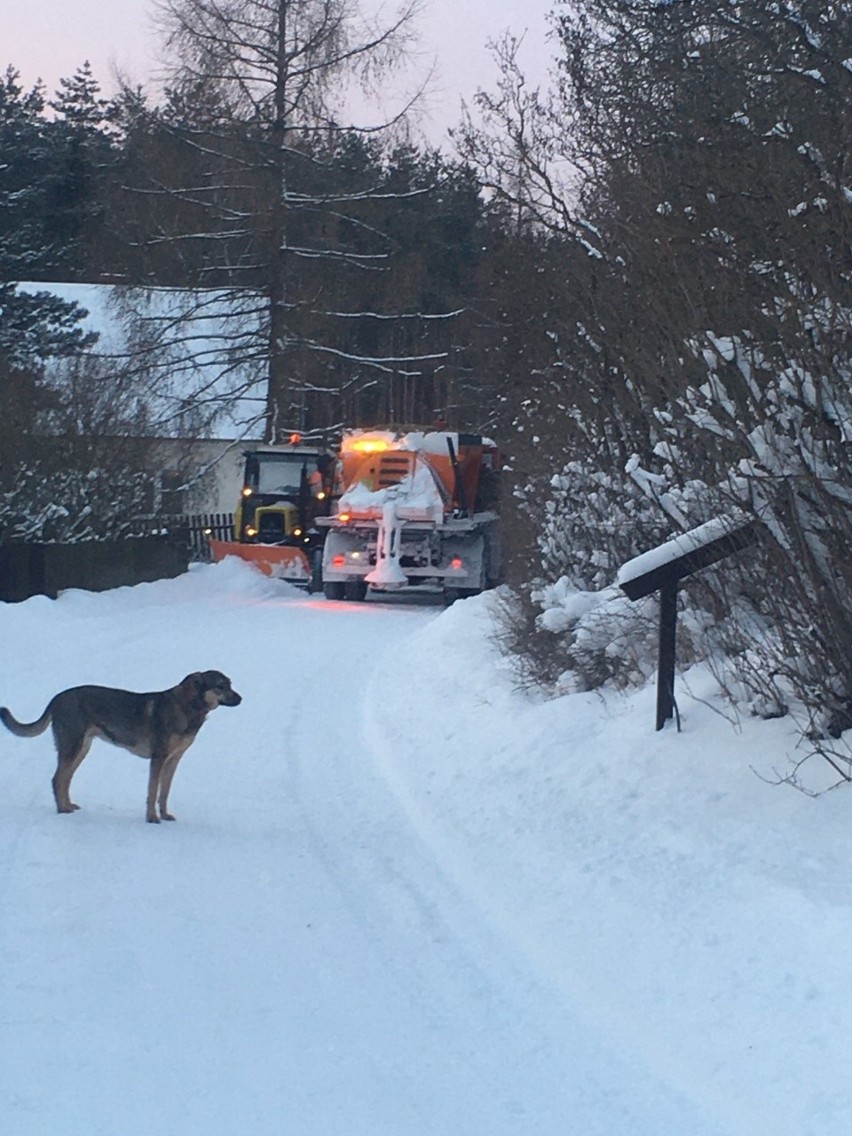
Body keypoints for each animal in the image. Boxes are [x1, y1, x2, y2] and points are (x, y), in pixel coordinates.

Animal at [0, 667, 240, 822]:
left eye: (230, 684)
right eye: (220, 686)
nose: (241, 699)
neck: (189, 707)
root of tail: (56, 699)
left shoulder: (173, 760)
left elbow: (164, 792)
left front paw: (165, 815)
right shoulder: (158, 758)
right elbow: (152, 791)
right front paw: (152, 818)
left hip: (82, 748)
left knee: (65, 779)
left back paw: (68, 805)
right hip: (72, 746)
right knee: (57, 779)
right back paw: (62, 811)